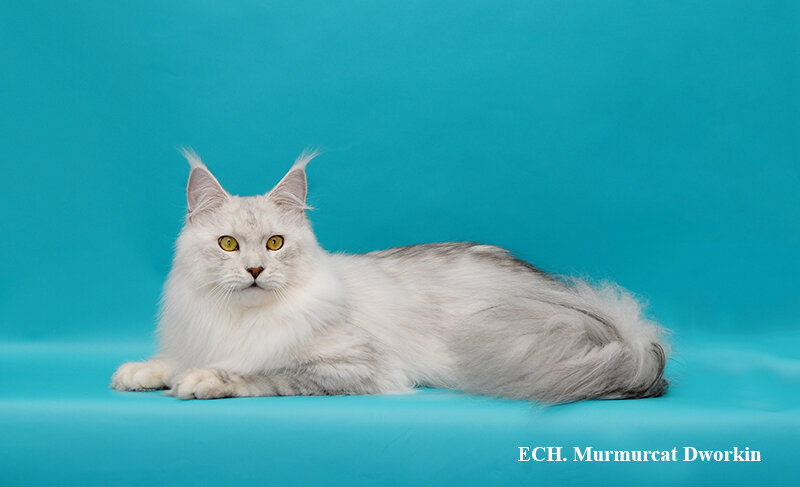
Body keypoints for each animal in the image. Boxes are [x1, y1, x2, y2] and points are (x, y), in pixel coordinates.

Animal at [111, 151, 668, 402]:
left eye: (274, 244)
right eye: (228, 244)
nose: (254, 270)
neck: (242, 320)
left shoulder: (353, 367)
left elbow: (263, 372)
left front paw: (203, 379)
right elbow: (170, 360)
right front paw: (142, 372)